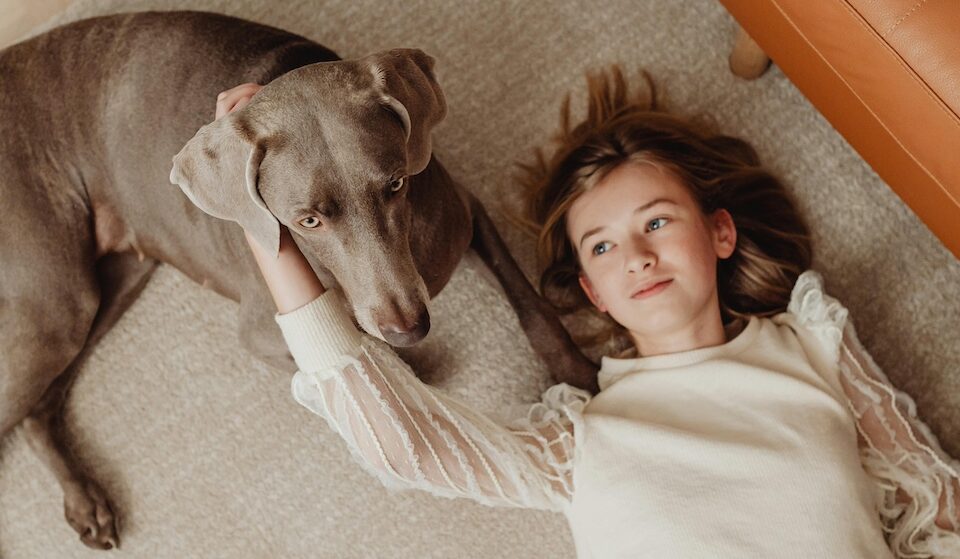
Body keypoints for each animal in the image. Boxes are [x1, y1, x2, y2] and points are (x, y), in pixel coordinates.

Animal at [1, 8, 600, 552]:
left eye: (396, 184)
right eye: (308, 220)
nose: (410, 328)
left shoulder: (468, 215)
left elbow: (531, 304)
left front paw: (577, 376)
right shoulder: (263, 332)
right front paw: (410, 363)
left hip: (112, 281)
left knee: (38, 410)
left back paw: (86, 501)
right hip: (58, 301)